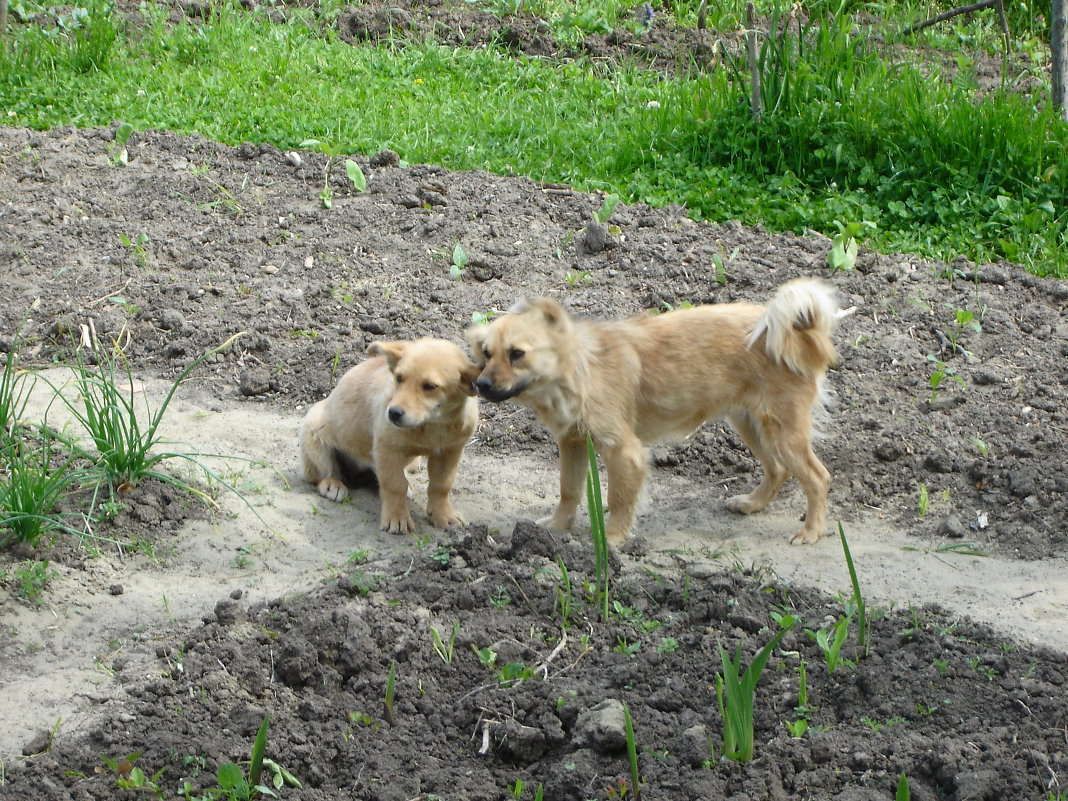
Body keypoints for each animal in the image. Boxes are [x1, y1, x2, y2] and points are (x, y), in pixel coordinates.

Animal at [299, 337, 478, 534]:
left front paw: (443, 515)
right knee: (323, 472)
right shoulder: (388, 448)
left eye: (430, 387)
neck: (432, 424)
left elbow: (442, 485)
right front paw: (397, 518)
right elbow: (394, 485)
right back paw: (333, 484)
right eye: (399, 378)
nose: (393, 413)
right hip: (314, 433)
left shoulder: (450, 451)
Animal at [467, 279, 841, 551]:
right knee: (778, 470)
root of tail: (799, 334)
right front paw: (559, 526)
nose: (481, 384)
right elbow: (568, 490)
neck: (579, 369)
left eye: (517, 354)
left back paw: (811, 531)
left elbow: (618, 500)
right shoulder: (572, 443)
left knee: (817, 477)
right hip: (750, 423)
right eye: (486, 353)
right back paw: (753, 503)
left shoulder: (624, 452)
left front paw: (611, 540)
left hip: (783, 431)